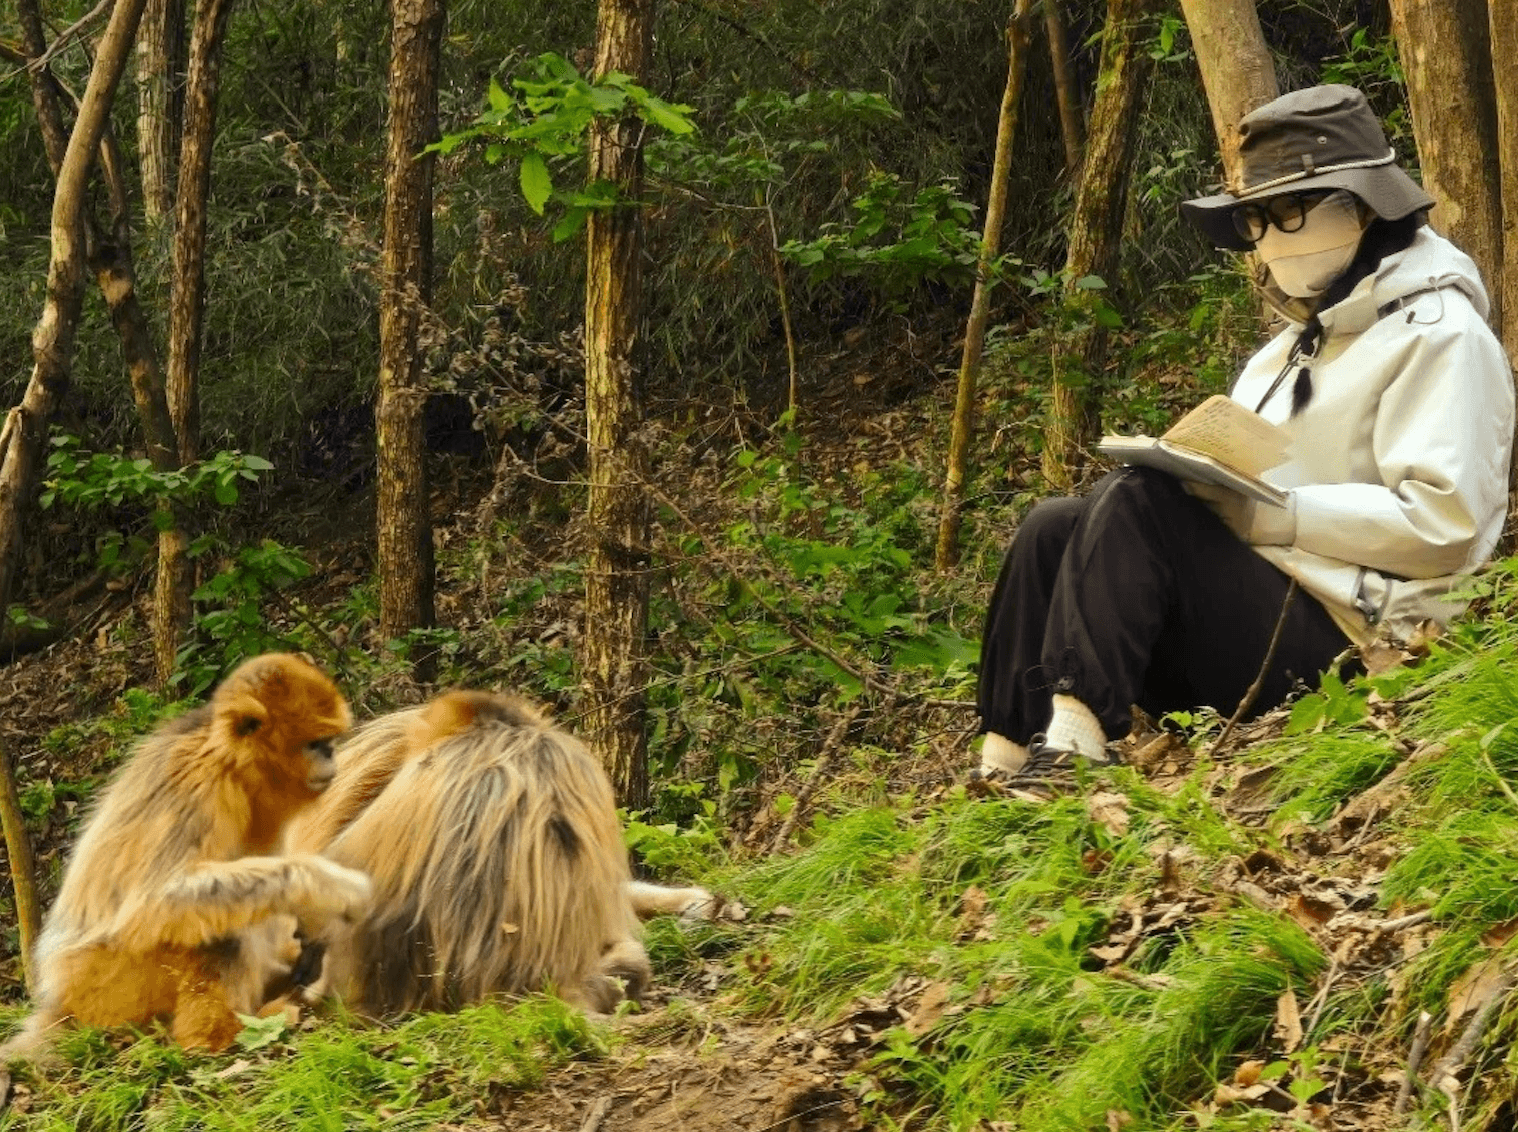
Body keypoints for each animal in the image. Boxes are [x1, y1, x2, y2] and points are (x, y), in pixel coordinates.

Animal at [1, 653, 373, 1057]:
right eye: (316, 744)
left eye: (329, 743)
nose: (332, 757)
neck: (226, 759)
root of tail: (58, 1000)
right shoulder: (199, 781)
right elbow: (155, 902)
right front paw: (329, 886)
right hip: (104, 983)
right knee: (216, 926)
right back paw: (221, 1034)